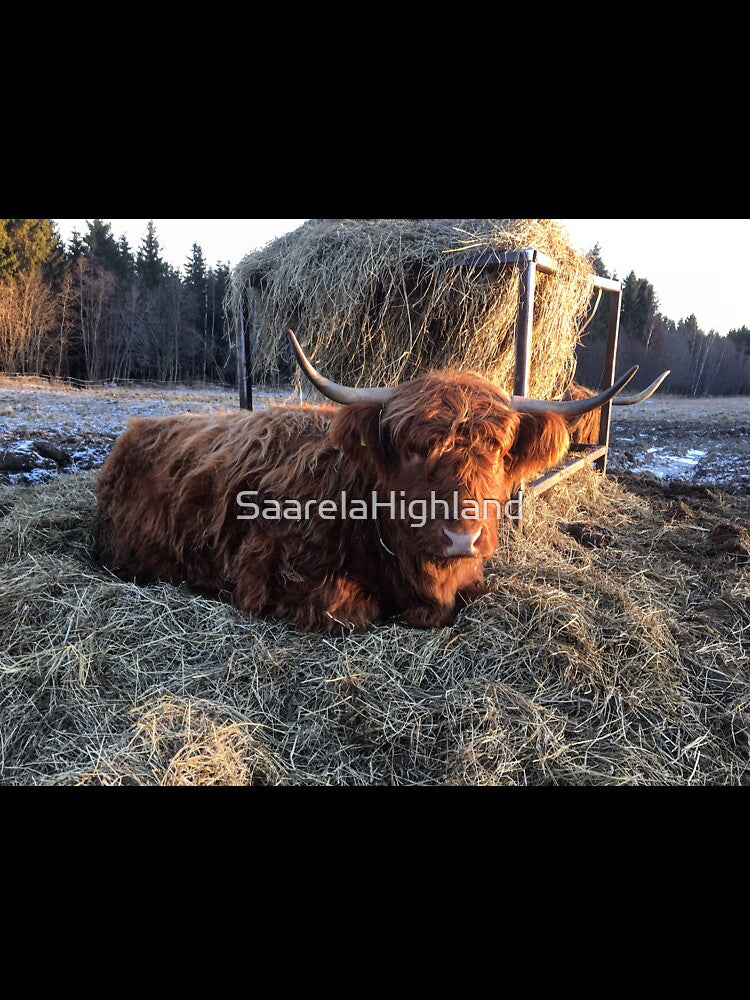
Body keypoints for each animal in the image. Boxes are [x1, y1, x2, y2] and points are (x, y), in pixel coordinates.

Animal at [93, 331, 639, 634]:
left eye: (501, 451)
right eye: (415, 449)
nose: (462, 538)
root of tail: (138, 428)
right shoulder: (267, 573)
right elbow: (357, 607)